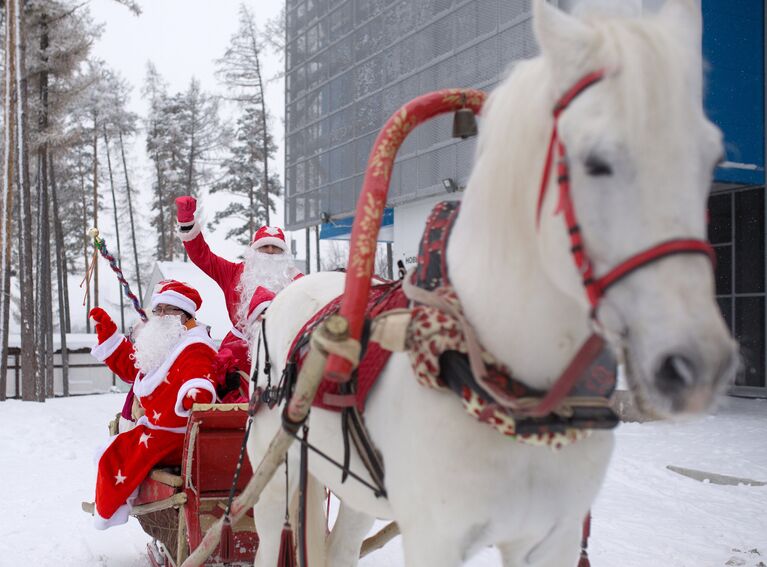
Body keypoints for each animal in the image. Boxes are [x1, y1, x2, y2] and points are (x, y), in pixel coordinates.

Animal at [246, 2, 736, 564]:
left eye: (713, 160)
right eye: (596, 161)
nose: (699, 364)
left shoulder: (553, 536)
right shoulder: (435, 536)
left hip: (351, 488)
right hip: (276, 472)